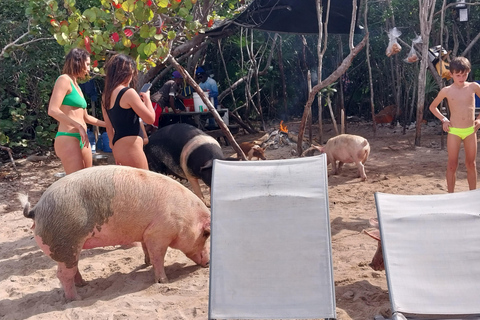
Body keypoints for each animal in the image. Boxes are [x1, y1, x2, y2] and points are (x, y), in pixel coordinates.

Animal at [19, 166, 210, 302]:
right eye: (206, 234)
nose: (208, 263)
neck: (185, 217)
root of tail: (36, 210)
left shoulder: (145, 233)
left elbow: (146, 250)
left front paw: (146, 264)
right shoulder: (158, 233)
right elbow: (158, 258)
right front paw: (164, 281)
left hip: (71, 248)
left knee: (73, 269)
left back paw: (84, 284)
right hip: (65, 243)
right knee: (63, 275)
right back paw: (77, 299)